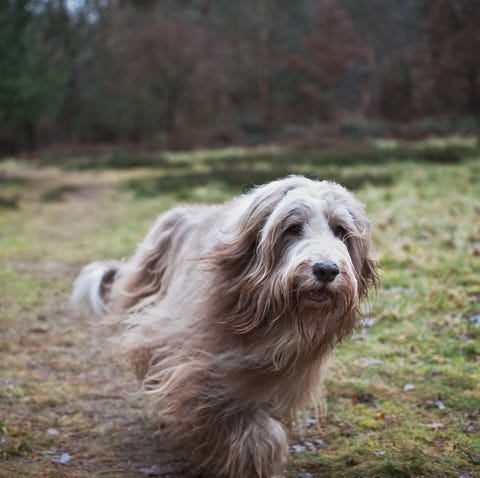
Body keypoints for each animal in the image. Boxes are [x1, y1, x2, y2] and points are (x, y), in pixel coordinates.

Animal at [72, 176, 378, 478]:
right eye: (292, 228)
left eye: (340, 230)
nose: (326, 270)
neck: (270, 314)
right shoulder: (190, 355)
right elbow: (220, 406)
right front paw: (253, 452)